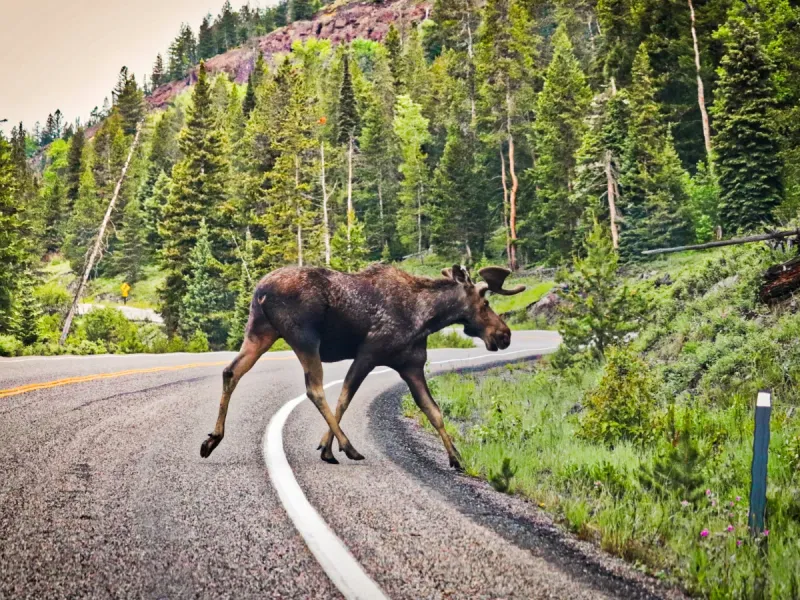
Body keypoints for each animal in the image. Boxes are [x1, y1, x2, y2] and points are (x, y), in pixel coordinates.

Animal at [198, 264, 524, 468]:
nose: (504, 335)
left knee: (231, 371)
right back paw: (351, 447)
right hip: (304, 338)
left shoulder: (411, 365)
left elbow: (433, 412)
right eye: (485, 303)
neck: (428, 317)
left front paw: (456, 457)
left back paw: (212, 439)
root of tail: (260, 291)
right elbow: (344, 398)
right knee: (314, 388)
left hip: (260, 332)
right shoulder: (368, 354)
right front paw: (327, 448)